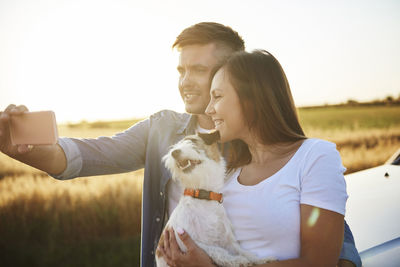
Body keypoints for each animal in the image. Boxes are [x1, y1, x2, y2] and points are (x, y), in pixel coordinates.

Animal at [155, 132, 274, 267]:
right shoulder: (185, 242)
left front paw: (259, 259)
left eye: (192, 141)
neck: (204, 196)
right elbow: (217, 250)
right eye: (174, 146)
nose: (174, 152)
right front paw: (237, 260)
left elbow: (241, 250)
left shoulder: (227, 239)